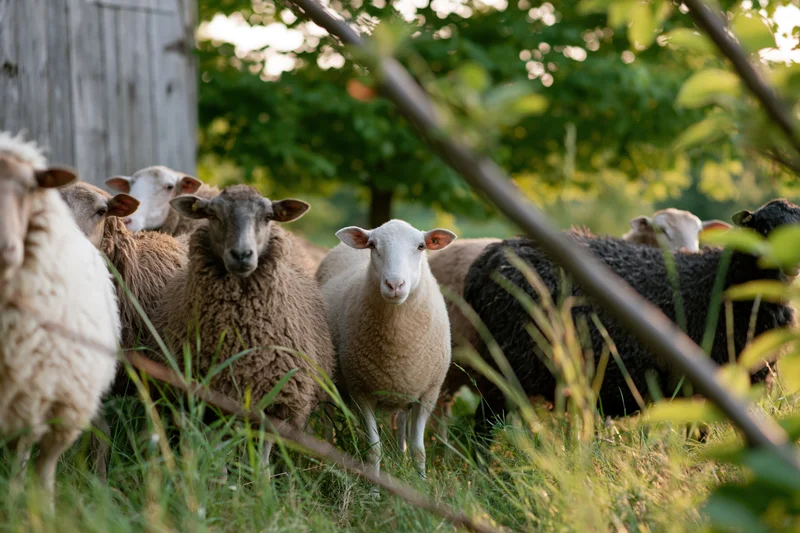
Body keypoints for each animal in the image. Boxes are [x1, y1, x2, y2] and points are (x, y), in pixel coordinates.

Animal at [152, 185, 335, 466]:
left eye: (268, 216)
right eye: (213, 214)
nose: (241, 254)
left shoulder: (279, 403)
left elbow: (262, 458)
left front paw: (260, 477)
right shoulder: (211, 400)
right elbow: (216, 453)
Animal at [316, 219, 456, 481]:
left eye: (421, 246)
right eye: (372, 245)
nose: (394, 285)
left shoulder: (427, 394)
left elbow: (418, 450)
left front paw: (420, 483)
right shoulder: (361, 391)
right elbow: (374, 450)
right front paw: (374, 487)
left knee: (401, 424)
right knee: (326, 417)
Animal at [464, 199, 799, 444]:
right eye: (764, 229)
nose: (792, 262)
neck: (720, 279)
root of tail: (488, 259)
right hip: (505, 366)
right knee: (482, 426)